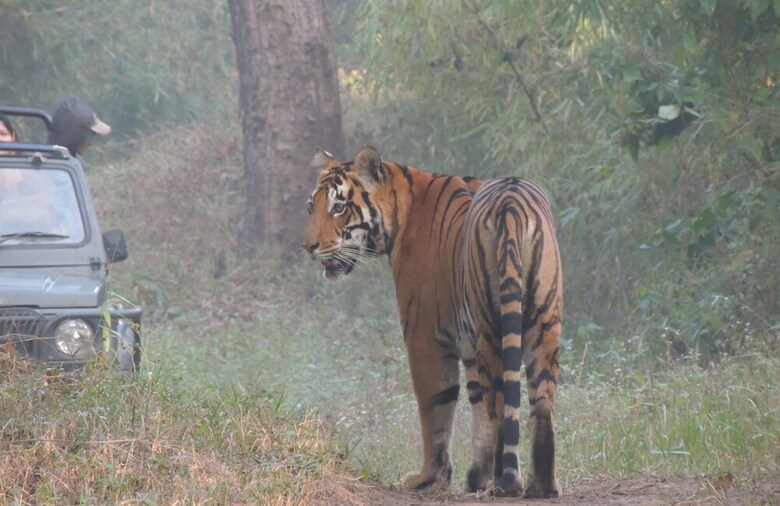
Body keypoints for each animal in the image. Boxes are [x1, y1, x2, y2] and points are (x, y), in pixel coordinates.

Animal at [302, 145, 562, 498]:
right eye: (311, 207)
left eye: (339, 208)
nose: (308, 247)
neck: (400, 210)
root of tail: (513, 200)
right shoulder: (469, 346)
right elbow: (477, 409)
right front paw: (475, 477)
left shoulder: (424, 336)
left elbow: (435, 410)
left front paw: (429, 478)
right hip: (545, 322)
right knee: (542, 403)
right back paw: (541, 486)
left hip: (492, 325)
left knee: (501, 405)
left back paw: (505, 483)